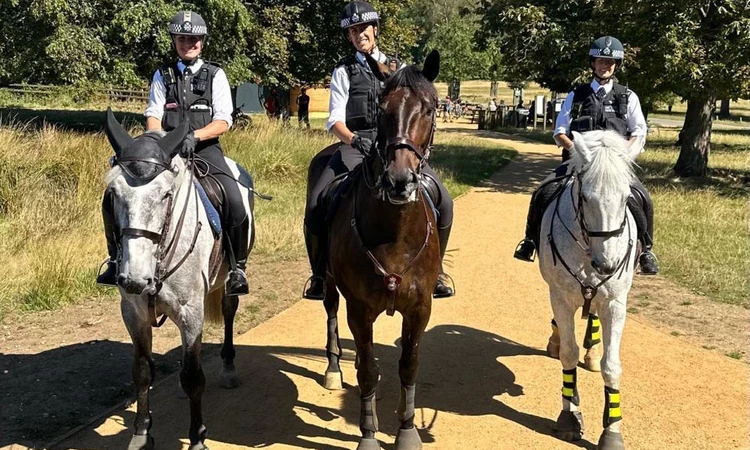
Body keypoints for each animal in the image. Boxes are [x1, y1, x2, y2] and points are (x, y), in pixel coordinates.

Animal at [103, 111, 256, 450]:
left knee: (228, 313)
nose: (135, 278)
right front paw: (141, 434)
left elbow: (193, 376)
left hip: (227, 283)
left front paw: (197, 437)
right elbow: (142, 371)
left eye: (165, 194)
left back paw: (228, 369)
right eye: (114, 194)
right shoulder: (133, 313)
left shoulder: (191, 312)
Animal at [310, 51, 440, 448]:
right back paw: (334, 368)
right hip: (330, 285)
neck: (394, 231)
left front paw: (407, 431)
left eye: (430, 108)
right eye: (381, 108)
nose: (399, 181)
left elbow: (408, 366)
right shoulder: (360, 309)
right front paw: (368, 435)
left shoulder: (420, 308)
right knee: (330, 313)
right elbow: (368, 370)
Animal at [540, 128, 640, 448]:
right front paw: (569, 415)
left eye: (626, 197)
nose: (607, 264)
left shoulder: (615, 303)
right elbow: (568, 354)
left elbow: (612, 366)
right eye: (584, 197)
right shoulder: (560, 295)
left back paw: (592, 353)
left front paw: (612, 430)